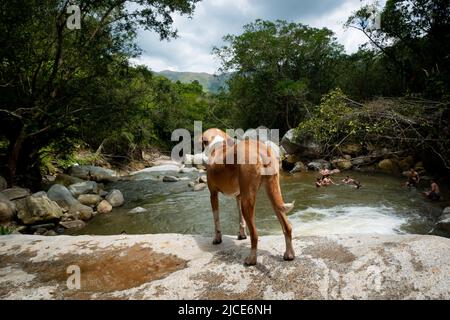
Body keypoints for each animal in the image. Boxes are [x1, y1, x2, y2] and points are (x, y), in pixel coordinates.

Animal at [201, 127, 296, 264]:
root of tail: (260, 149)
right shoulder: (239, 196)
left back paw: (251, 259)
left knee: (255, 234)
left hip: (248, 201)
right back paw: (289, 254)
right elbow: (240, 219)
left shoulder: (213, 194)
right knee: (287, 227)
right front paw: (241, 235)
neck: (218, 146)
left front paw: (217, 239)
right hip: (273, 195)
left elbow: (216, 220)